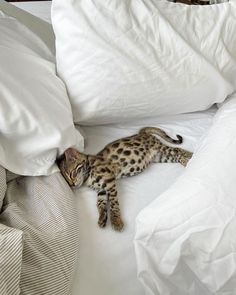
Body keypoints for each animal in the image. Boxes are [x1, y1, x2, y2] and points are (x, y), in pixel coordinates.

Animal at [58, 126, 193, 231]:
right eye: (67, 182)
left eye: (71, 174)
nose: (72, 184)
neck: (88, 174)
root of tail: (141, 133)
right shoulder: (101, 190)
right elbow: (100, 204)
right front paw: (102, 217)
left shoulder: (109, 182)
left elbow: (113, 204)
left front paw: (116, 221)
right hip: (160, 157)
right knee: (176, 155)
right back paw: (188, 159)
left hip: (160, 148)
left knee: (177, 150)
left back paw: (190, 157)